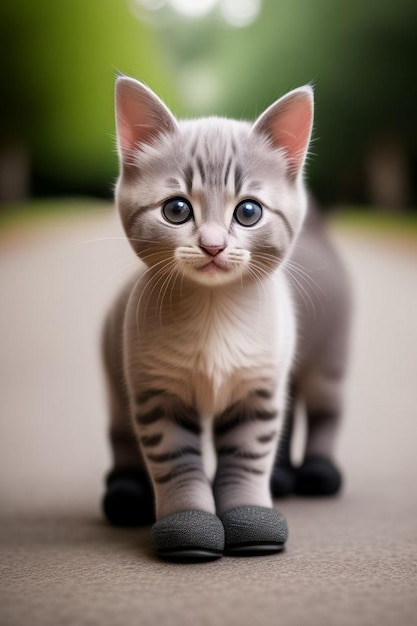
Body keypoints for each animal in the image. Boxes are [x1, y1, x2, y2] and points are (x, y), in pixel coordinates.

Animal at [102, 75, 350, 560]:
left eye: (248, 211)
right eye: (176, 209)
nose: (213, 245)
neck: (213, 313)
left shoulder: (259, 390)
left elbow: (247, 457)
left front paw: (250, 516)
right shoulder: (156, 394)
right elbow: (176, 462)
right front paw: (188, 522)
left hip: (326, 357)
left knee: (323, 409)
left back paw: (315, 471)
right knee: (121, 433)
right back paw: (124, 492)